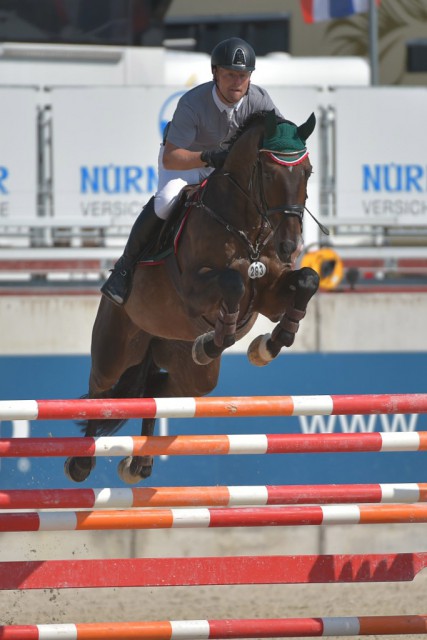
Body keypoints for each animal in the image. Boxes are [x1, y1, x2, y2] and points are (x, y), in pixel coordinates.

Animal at [65, 110, 322, 482]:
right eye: (269, 172)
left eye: (308, 172)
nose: (290, 245)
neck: (246, 228)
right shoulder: (193, 291)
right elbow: (233, 282)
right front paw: (217, 341)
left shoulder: (270, 296)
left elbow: (307, 281)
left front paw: (267, 346)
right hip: (115, 348)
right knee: (101, 393)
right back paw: (81, 462)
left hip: (193, 375)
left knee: (156, 391)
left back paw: (139, 463)